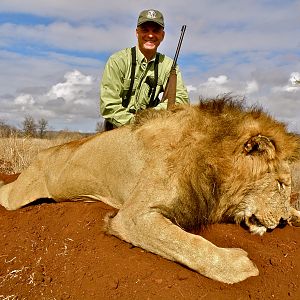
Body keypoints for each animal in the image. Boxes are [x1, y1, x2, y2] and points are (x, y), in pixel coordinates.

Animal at [0, 98, 300, 284]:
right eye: (281, 183)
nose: (283, 222)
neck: (214, 160)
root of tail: (43, 152)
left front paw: (295, 214)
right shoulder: (133, 216)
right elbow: (186, 243)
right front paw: (238, 265)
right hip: (19, 195)